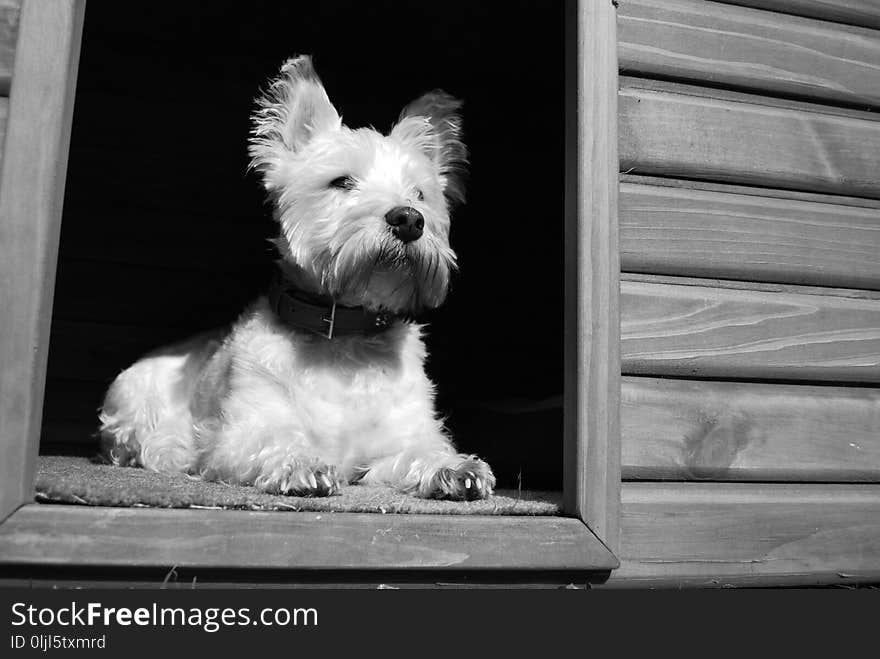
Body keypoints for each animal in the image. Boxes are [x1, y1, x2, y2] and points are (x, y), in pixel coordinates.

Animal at [99, 56, 496, 500]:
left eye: (420, 194)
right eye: (341, 182)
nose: (409, 219)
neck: (345, 340)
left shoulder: (399, 438)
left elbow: (420, 450)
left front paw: (455, 468)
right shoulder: (239, 433)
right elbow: (273, 440)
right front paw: (300, 463)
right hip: (133, 395)